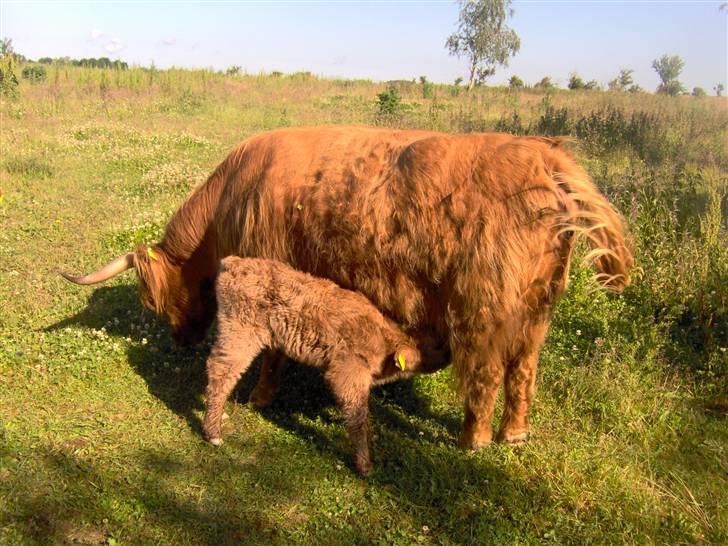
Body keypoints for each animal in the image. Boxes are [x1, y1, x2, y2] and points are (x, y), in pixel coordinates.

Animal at [61, 125, 632, 449]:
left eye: (152, 300)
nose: (181, 341)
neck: (231, 199)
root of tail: (546, 157)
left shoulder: (277, 276)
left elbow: (273, 354)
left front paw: (261, 399)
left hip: (484, 307)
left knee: (487, 374)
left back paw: (474, 441)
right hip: (537, 309)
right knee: (524, 370)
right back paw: (515, 433)